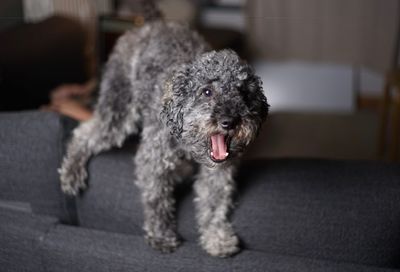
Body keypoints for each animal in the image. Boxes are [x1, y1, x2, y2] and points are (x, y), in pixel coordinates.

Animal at [58, 2, 268, 258]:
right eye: (207, 92)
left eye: (244, 93)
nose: (230, 121)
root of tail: (153, 23)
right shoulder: (153, 161)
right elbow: (156, 199)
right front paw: (161, 235)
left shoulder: (218, 172)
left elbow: (214, 204)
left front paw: (216, 237)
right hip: (118, 109)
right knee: (85, 132)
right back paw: (71, 172)